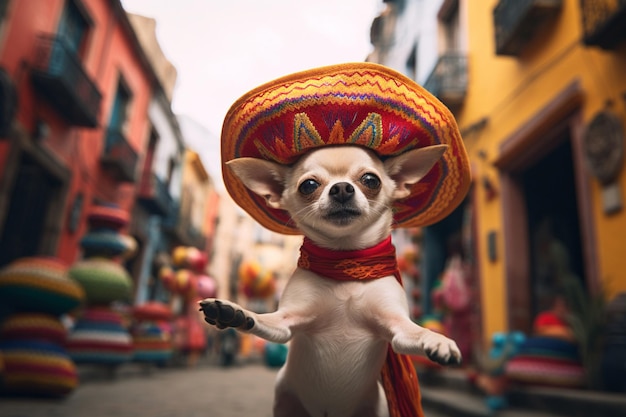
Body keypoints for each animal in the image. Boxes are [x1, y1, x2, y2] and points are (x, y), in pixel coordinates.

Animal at [199, 144, 458, 416]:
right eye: (309, 185)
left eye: (371, 180)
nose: (341, 187)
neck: (346, 263)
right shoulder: (285, 323)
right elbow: (260, 319)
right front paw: (234, 313)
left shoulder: (397, 327)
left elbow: (418, 331)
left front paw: (437, 339)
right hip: (284, 399)